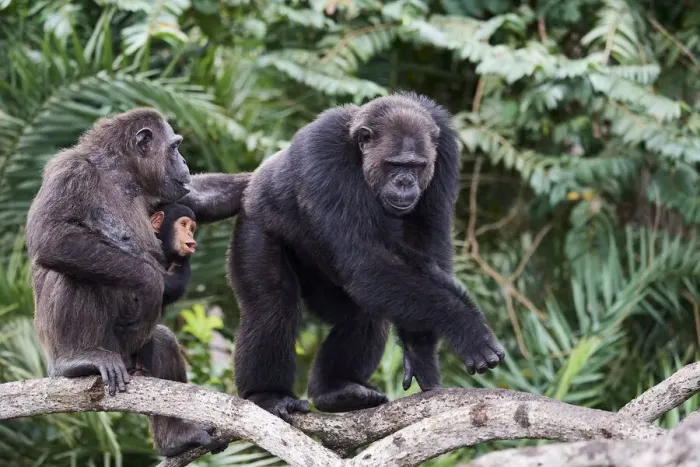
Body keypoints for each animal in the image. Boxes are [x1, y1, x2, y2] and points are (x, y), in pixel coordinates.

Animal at [25, 108, 230, 457]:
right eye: (175, 146)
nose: (183, 160)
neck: (121, 174)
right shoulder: (70, 173)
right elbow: (51, 234)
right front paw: (150, 284)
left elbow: (201, 196)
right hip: (69, 349)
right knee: (74, 272)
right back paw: (77, 360)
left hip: (130, 354)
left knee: (162, 341)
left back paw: (178, 437)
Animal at [215, 91, 506, 421]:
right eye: (394, 165)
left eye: (417, 166)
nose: (405, 182)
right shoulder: (322, 153)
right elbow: (364, 260)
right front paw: (467, 327)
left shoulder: (445, 152)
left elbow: (425, 245)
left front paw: (419, 351)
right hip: (256, 223)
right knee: (271, 305)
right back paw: (267, 394)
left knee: (365, 310)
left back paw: (336, 390)